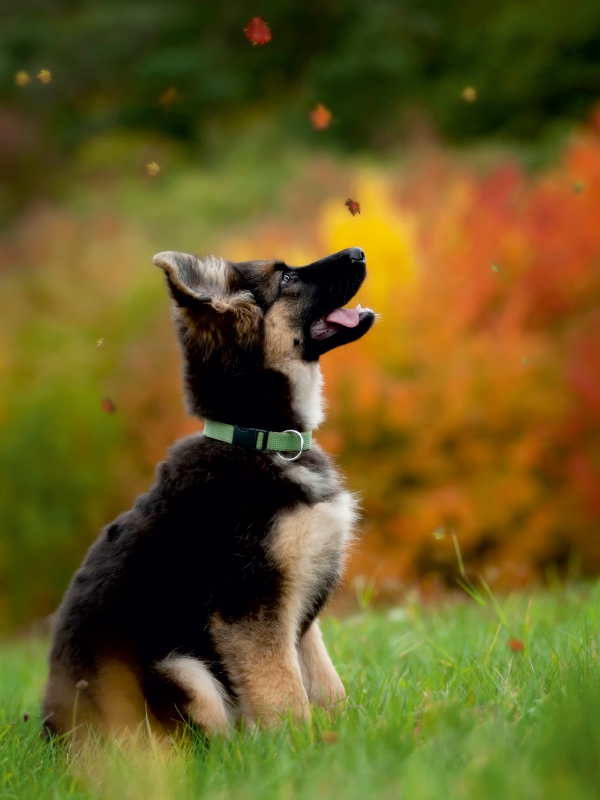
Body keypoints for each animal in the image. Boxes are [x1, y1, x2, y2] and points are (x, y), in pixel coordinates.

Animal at [43, 247, 376, 740]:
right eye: (286, 278)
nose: (359, 252)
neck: (259, 439)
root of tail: (53, 737)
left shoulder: (298, 607)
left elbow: (324, 680)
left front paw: (345, 737)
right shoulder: (250, 605)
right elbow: (285, 692)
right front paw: (299, 747)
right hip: (180, 670)